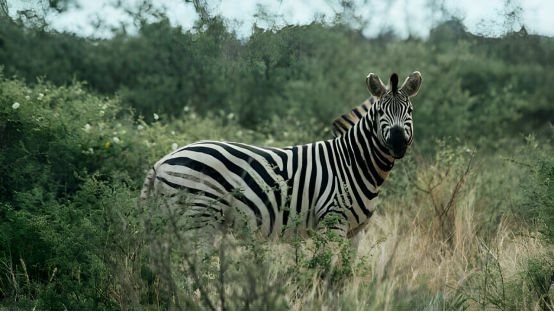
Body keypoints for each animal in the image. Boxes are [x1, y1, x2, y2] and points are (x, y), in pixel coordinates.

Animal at [140, 72, 420, 252]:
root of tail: (162, 161)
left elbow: (343, 277)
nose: (398, 143)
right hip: (199, 217)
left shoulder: (357, 230)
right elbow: (325, 271)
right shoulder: (332, 221)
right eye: (380, 112)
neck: (353, 163)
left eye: (410, 111)